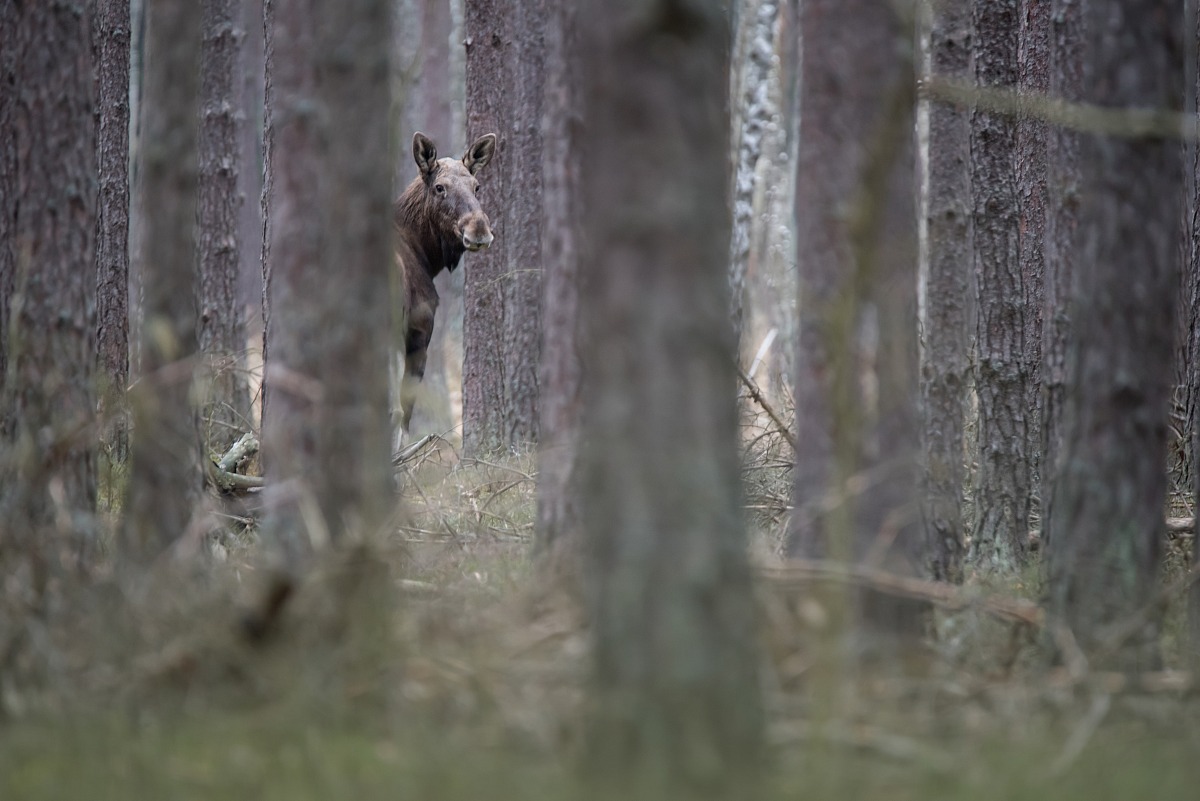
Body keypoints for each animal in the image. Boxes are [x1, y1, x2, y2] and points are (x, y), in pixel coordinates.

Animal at [392, 131, 497, 449]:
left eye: (477, 186)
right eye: (440, 187)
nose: (479, 230)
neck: (426, 255)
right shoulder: (420, 327)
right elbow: (405, 411)